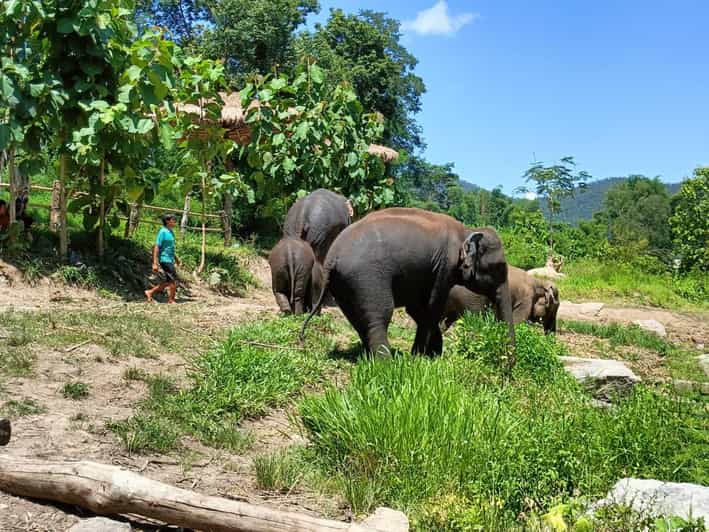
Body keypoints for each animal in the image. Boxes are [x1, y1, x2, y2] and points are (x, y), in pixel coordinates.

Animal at [301, 207, 515, 358]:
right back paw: (386, 363)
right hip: (365, 277)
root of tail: (331, 258)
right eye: (499, 267)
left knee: (358, 318)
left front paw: (429, 355)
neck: (466, 230)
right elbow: (432, 307)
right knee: (380, 315)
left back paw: (368, 356)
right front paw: (421, 357)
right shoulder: (445, 267)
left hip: (342, 282)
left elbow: (418, 308)